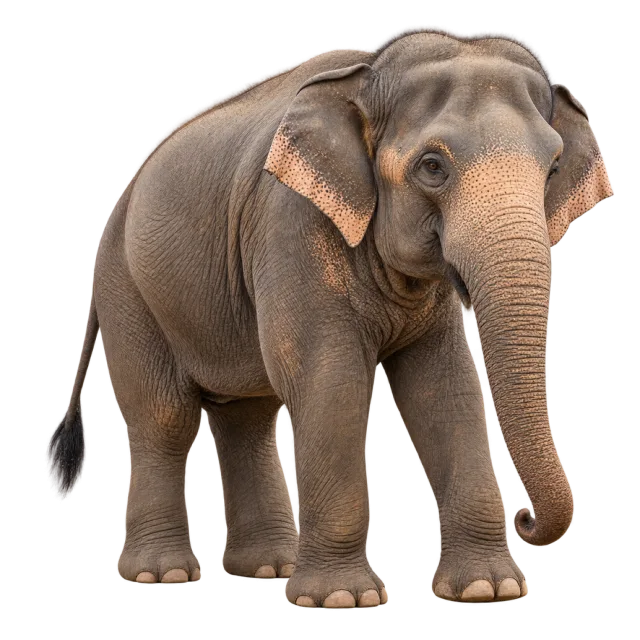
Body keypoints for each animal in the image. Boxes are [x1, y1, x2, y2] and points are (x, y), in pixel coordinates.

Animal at [46, 25, 614, 607]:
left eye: (552, 169)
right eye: (432, 167)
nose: (524, 517)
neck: (367, 75)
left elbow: (444, 387)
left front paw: (487, 590)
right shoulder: (290, 220)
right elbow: (330, 379)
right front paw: (342, 598)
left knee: (246, 415)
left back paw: (268, 568)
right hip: (129, 289)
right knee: (165, 414)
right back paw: (161, 575)